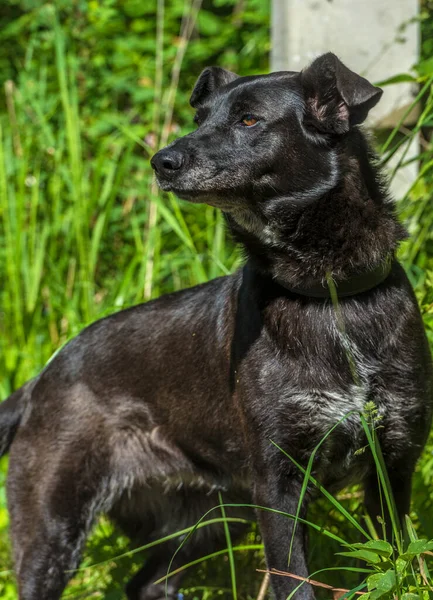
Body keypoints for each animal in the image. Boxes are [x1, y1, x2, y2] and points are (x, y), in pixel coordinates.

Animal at [0, 52, 432, 600]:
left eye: (248, 120)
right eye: (199, 118)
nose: (161, 161)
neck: (329, 296)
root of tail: (40, 379)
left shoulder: (393, 466)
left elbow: (397, 562)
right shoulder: (278, 485)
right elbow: (296, 582)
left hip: (207, 522)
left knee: (149, 584)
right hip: (54, 527)